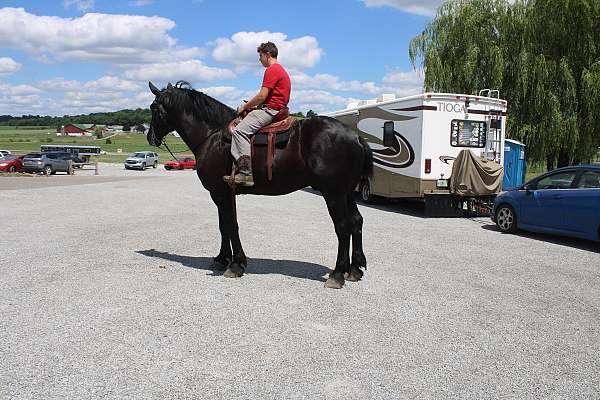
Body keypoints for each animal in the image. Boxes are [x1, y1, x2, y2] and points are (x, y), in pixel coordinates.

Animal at [148, 80, 372, 288]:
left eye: (153, 108)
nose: (150, 137)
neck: (212, 136)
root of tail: (356, 137)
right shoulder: (222, 194)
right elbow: (224, 225)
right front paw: (222, 259)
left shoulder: (221, 193)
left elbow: (230, 225)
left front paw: (236, 265)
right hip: (346, 193)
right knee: (356, 221)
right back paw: (354, 269)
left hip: (333, 193)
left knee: (342, 226)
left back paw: (337, 274)